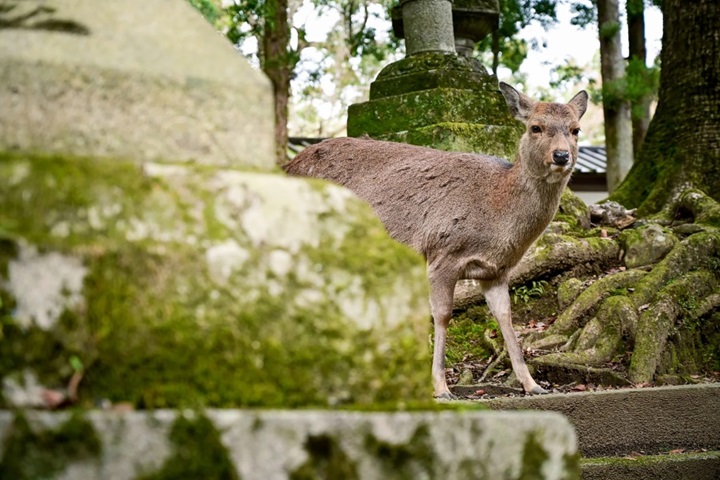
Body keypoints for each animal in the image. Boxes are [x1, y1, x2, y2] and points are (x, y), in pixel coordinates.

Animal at [284, 83, 588, 399]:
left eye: (575, 129)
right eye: (535, 127)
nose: (561, 156)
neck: (497, 212)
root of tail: (286, 166)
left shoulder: (496, 271)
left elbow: (505, 317)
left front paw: (532, 384)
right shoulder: (444, 253)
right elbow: (441, 315)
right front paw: (441, 387)